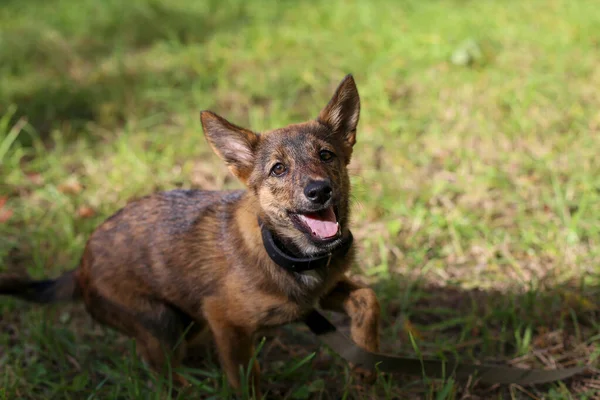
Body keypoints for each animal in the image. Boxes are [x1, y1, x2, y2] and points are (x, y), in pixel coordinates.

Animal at [0, 75, 382, 396]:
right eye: (278, 169)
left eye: (326, 155)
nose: (319, 191)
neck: (289, 253)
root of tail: (80, 265)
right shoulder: (224, 320)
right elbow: (247, 381)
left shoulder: (321, 294)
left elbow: (368, 298)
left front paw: (366, 364)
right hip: (162, 321)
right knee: (162, 373)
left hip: (188, 318)